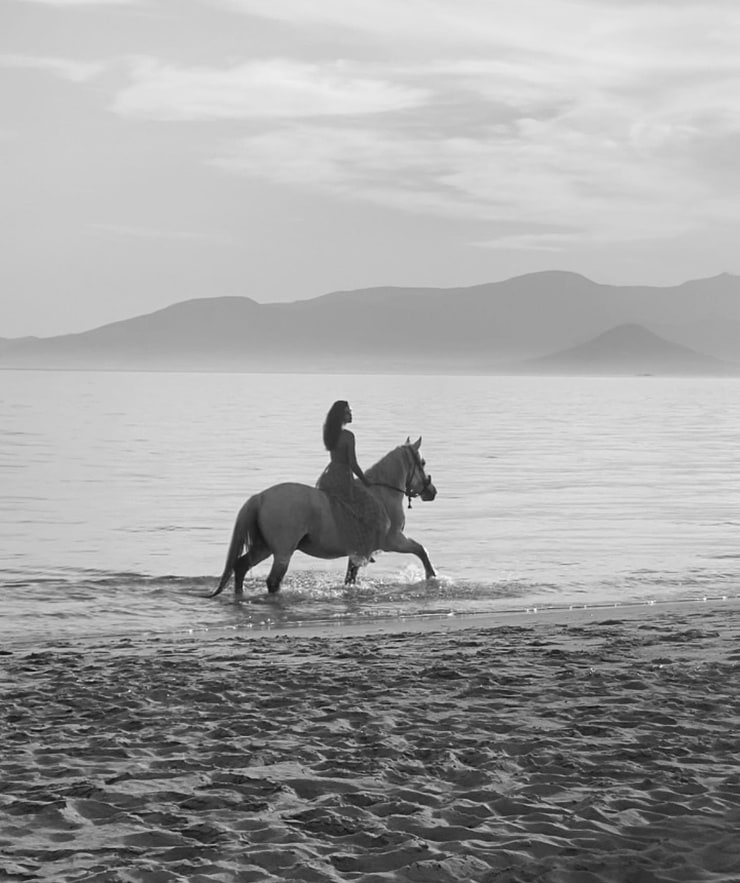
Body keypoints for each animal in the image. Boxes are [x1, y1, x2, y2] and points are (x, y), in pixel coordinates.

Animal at [208, 438, 436, 596]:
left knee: (241, 566)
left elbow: (350, 577)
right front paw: (432, 577)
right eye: (423, 462)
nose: (432, 492)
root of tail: (260, 497)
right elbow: (421, 550)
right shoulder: (393, 541)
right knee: (272, 581)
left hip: (264, 547)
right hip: (282, 552)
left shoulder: (358, 551)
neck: (381, 494)